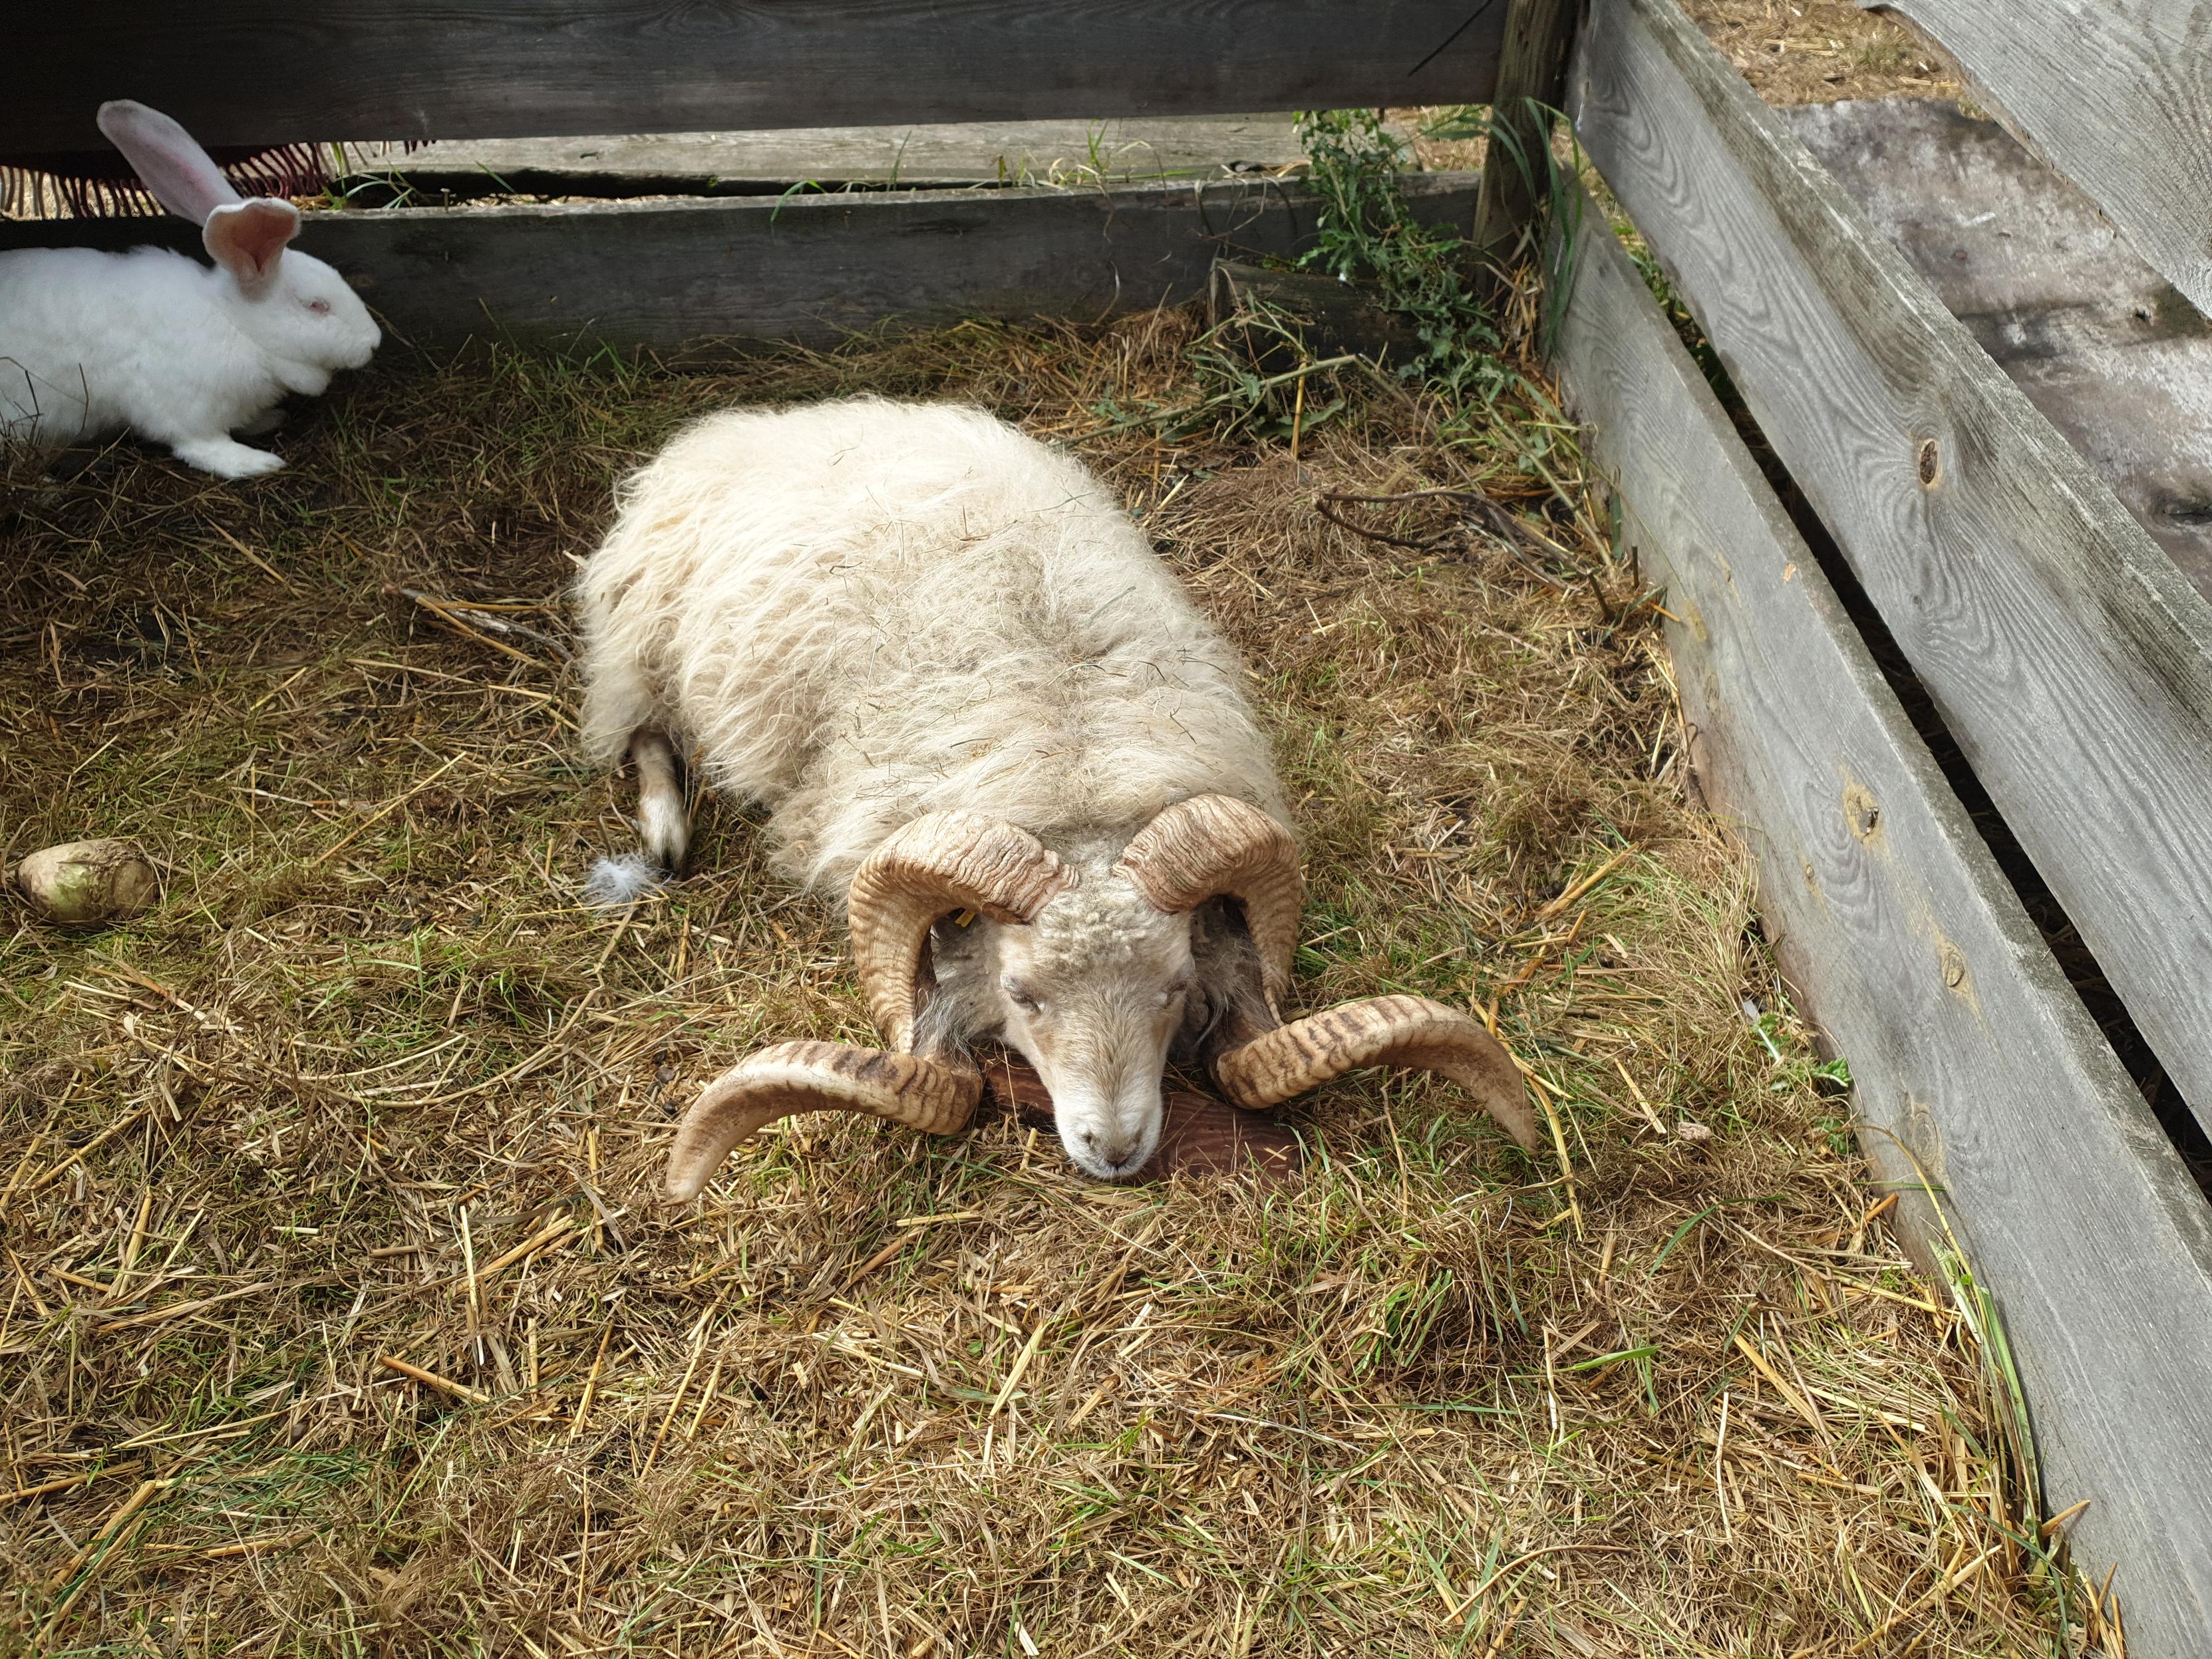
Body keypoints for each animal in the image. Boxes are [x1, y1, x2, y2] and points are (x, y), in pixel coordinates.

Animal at [0, 100, 380, 480]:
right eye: (316, 305)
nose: (374, 342)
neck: (233, 324)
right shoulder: (185, 413)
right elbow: (201, 446)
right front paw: (256, 463)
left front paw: (269, 420)